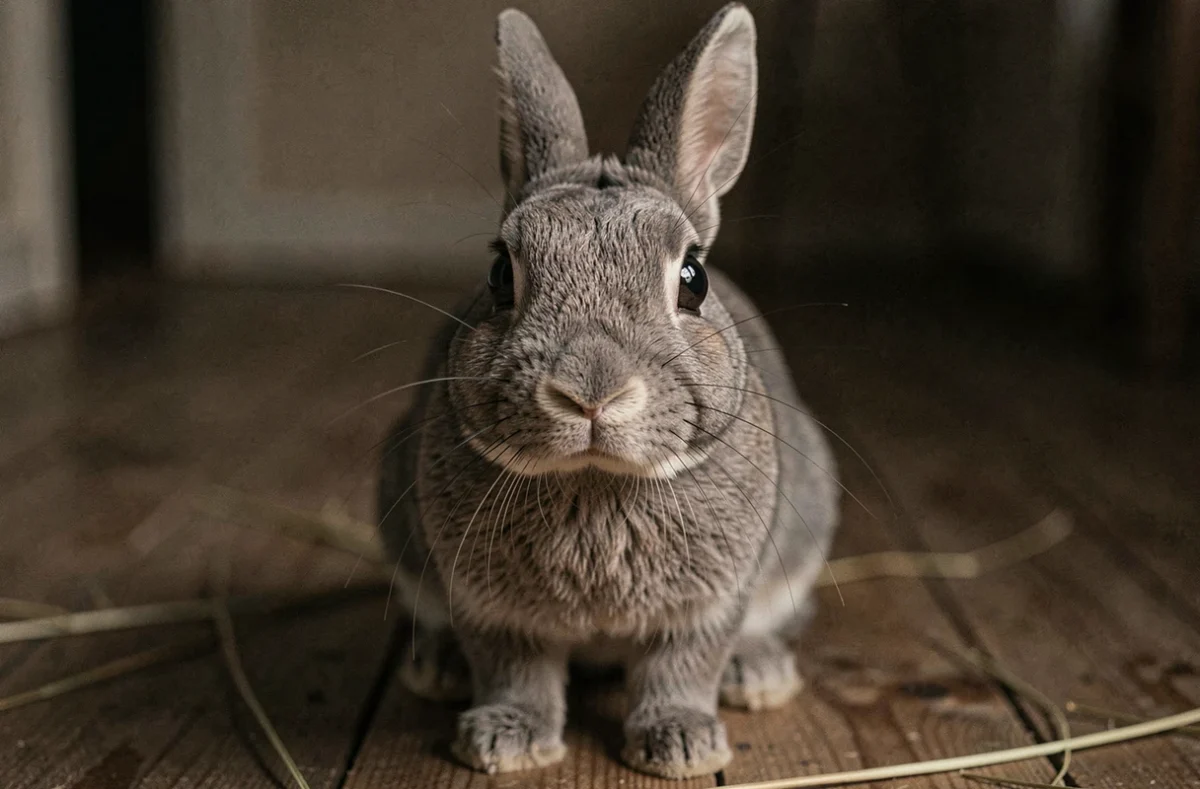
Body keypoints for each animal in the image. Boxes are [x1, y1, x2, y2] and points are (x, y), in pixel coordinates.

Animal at [377, 3, 841, 779]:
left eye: (693, 279)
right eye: (500, 274)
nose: (590, 392)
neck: (596, 479)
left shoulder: (706, 609)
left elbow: (680, 668)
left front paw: (681, 745)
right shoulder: (493, 611)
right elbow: (515, 670)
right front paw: (506, 741)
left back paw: (756, 674)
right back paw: (437, 668)